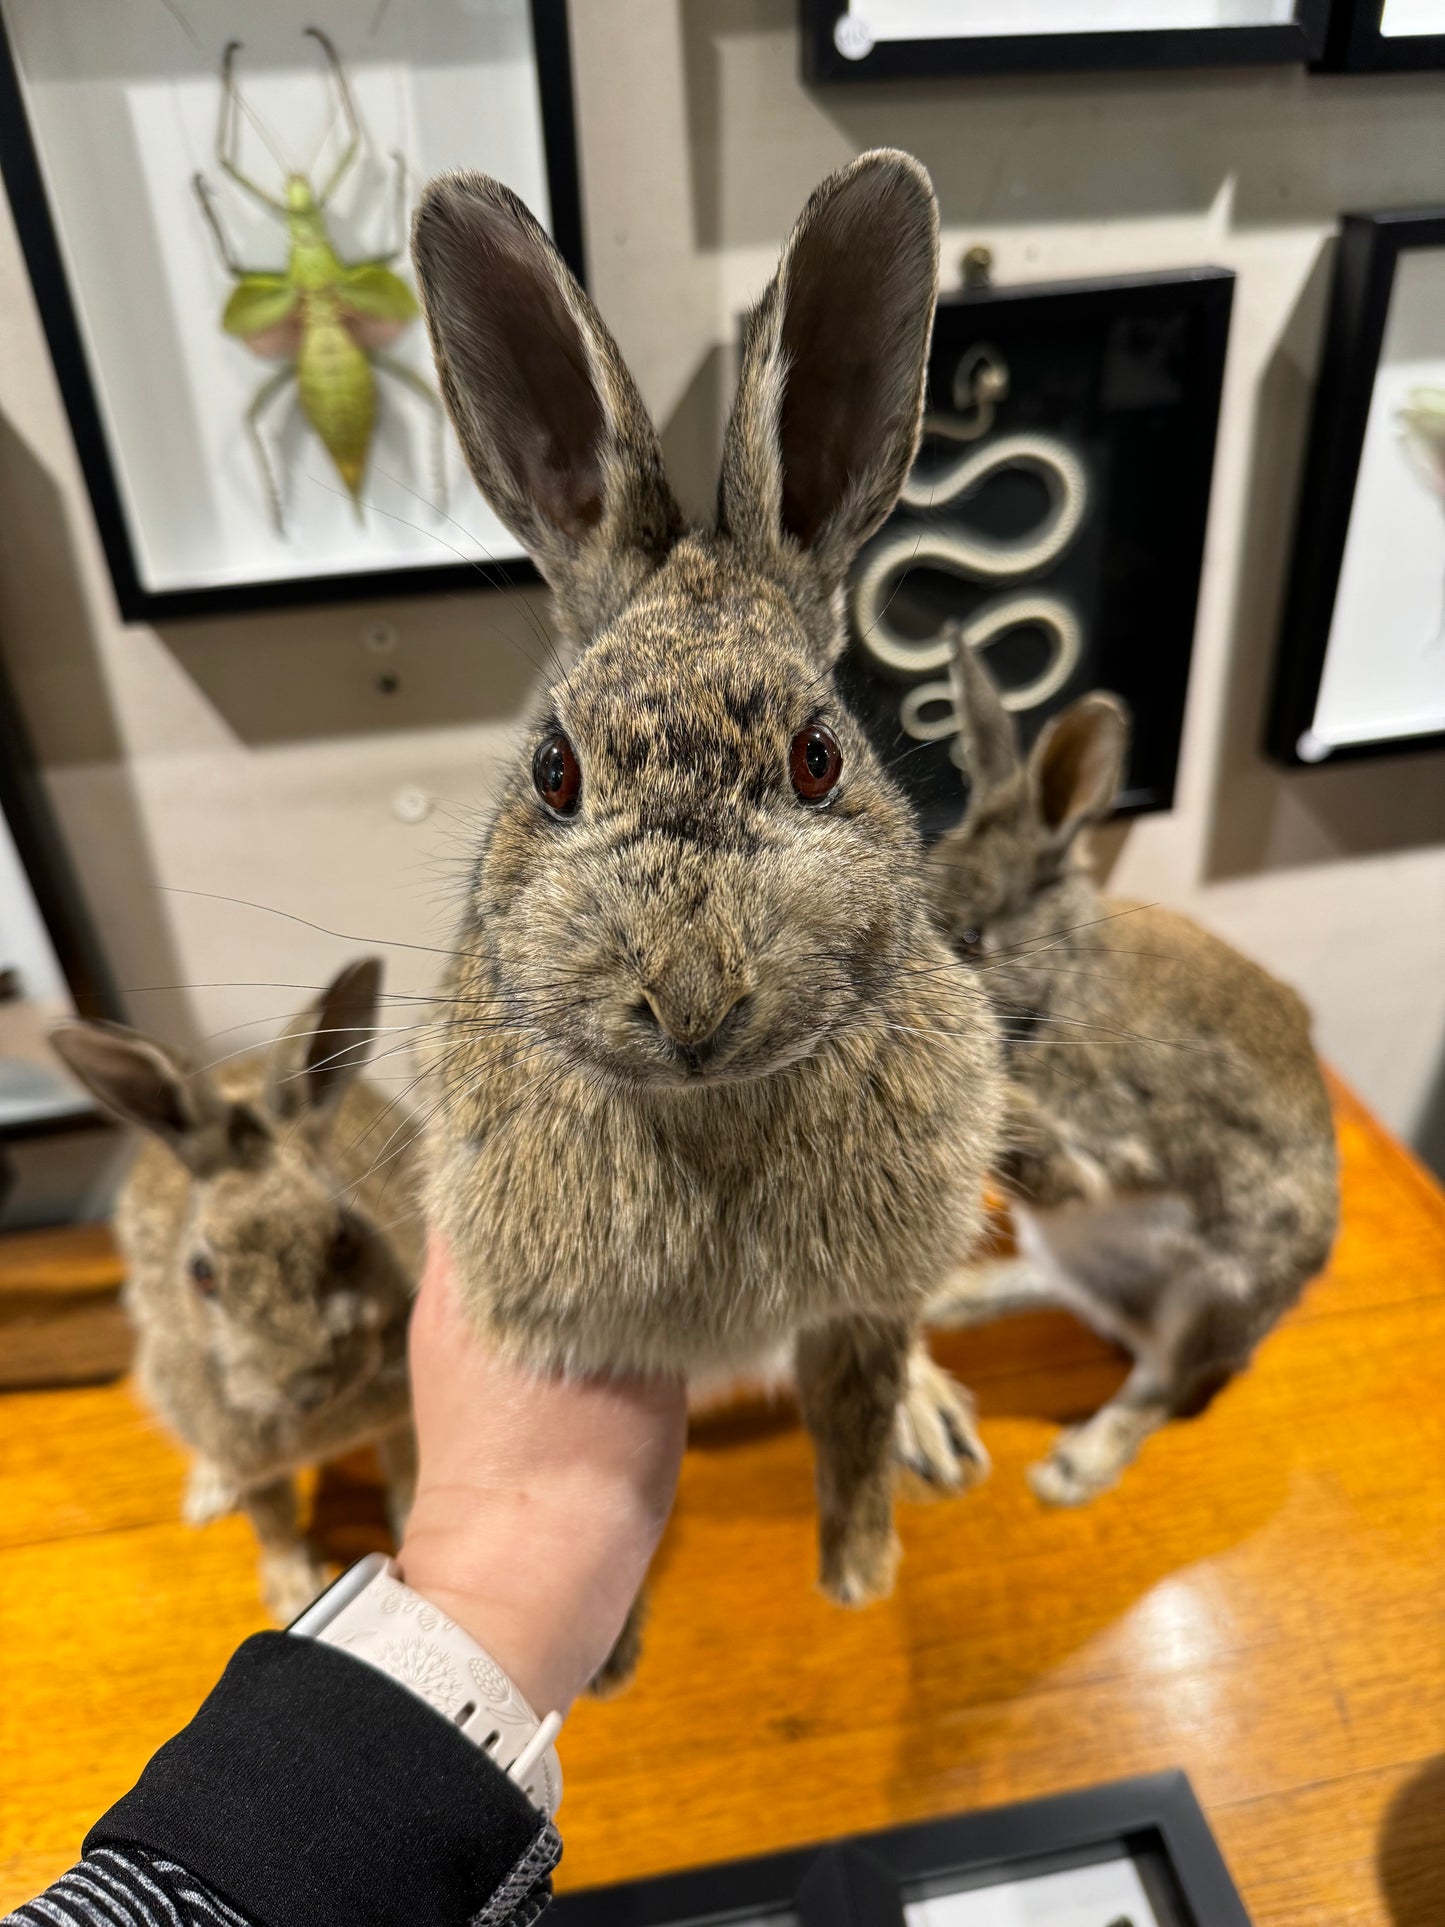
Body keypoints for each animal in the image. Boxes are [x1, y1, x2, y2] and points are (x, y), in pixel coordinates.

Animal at [51, 959, 421, 1610]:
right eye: (202, 1272)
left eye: (343, 1240)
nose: (303, 1385)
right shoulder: (245, 1453)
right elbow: (271, 1522)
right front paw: (295, 1594)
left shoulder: (398, 1417)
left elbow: (401, 1471)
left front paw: (404, 1532)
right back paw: (206, 1499)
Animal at [412, 146, 1009, 1641]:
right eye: (553, 769)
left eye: (818, 756)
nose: (689, 999)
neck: (711, 1106)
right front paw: (613, 1649)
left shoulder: (866, 1299)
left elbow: (855, 1400)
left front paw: (856, 1574)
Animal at [920, 647, 1340, 1503]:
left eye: (973, 940)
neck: (1055, 988)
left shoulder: (1105, 1140)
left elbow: (1062, 1160)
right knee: (1067, 1292)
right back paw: (958, 1298)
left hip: (1209, 1295)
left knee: (1163, 1380)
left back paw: (1073, 1468)